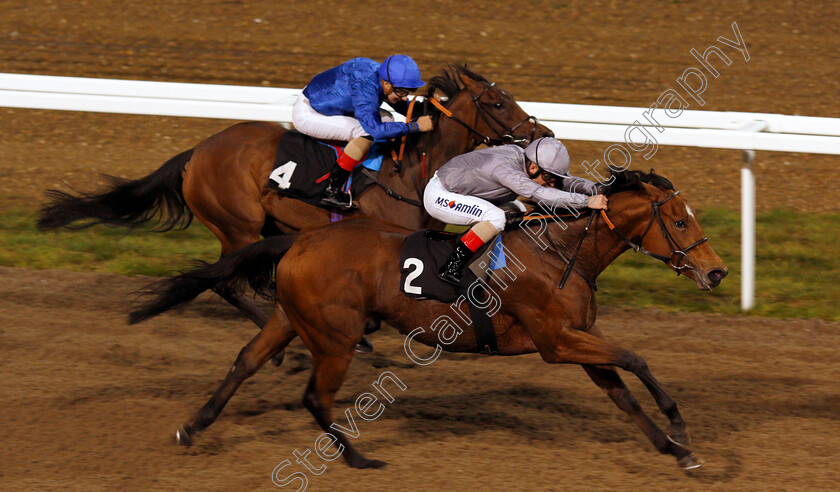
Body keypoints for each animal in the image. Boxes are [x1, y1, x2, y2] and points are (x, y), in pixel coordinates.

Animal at [39, 63, 552, 328]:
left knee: (250, 277)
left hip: (265, 225)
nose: (541, 132)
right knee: (229, 280)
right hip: (238, 224)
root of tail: (196, 152)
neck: (410, 169)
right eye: (499, 102)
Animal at [130, 170, 728, 472]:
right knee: (314, 396)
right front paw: (679, 428)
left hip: (290, 318)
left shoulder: (580, 339)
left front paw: (677, 450)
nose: (717, 272)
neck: (561, 254)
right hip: (337, 336)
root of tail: (300, 238)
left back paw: (194, 426)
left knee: (245, 362)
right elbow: (637, 359)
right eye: (679, 221)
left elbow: (623, 393)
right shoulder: (558, 341)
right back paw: (359, 458)